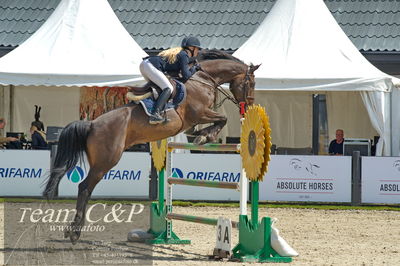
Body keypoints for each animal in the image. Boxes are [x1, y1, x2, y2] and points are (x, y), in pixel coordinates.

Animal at [43, 49, 260, 243]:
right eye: (251, 83)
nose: (248, 107)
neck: (202, 79)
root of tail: (92, 124)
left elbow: (217, 121)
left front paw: (201, 135)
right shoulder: (199, 113)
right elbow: (222, 119)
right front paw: (204, 137)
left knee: (85, 188)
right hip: (105, 161)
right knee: (85, 187)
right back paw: (74, 233)